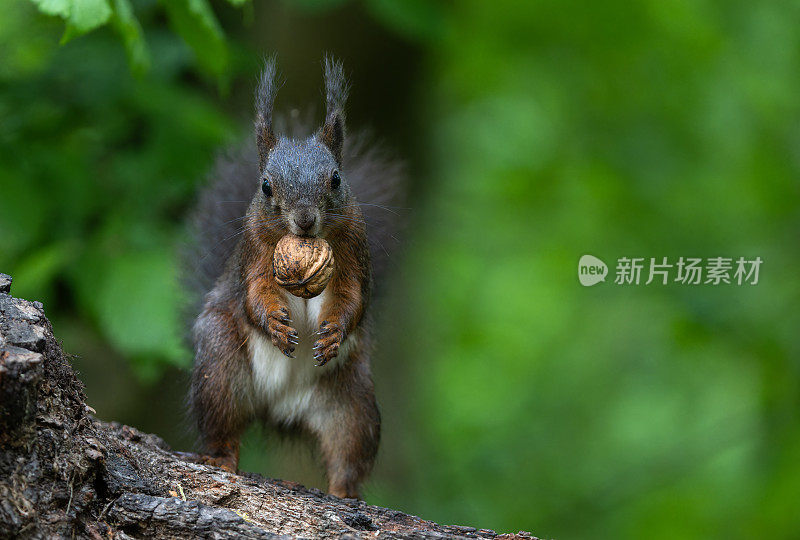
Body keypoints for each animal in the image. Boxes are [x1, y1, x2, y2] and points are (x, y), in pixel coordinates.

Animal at [184, 57, 404, 500]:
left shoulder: (354, 248)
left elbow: (353, 296)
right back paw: (220, 459)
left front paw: (335, 330)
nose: (304, 220)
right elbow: (254, 293)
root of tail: (281, 409)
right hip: (219, 369)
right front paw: (275, 324)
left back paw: (344, 493)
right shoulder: (254, 250)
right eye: (266, 186)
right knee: (221, 426)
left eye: (336, 178)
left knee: (348, 452)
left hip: (353, 402)